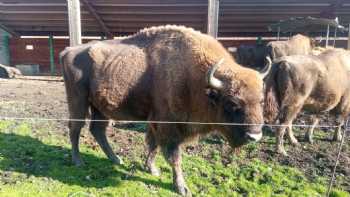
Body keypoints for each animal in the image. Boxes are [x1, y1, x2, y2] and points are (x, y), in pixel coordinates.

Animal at [60, 25, 268, 195]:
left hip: (100, 108)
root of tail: (69, 50)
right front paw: (182, 188)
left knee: (98, 130)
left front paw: (151, 169)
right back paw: (78, 161)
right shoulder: (168, 126)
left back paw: (116, 159)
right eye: (232, 103)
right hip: (78, 101)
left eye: (261, 101)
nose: (255, 136)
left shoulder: (156, 122)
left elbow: (153, 145)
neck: (194, 78)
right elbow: (173, 156)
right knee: (75, 128)